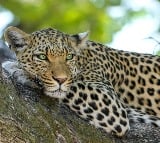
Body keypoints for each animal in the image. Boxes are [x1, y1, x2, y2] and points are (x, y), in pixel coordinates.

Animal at [3, 26, 160, 137]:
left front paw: (20, 71)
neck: (84, 59)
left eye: (69, 57)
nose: (61, 79)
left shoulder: (112, 104)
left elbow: (72, 86)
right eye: (42, 57)